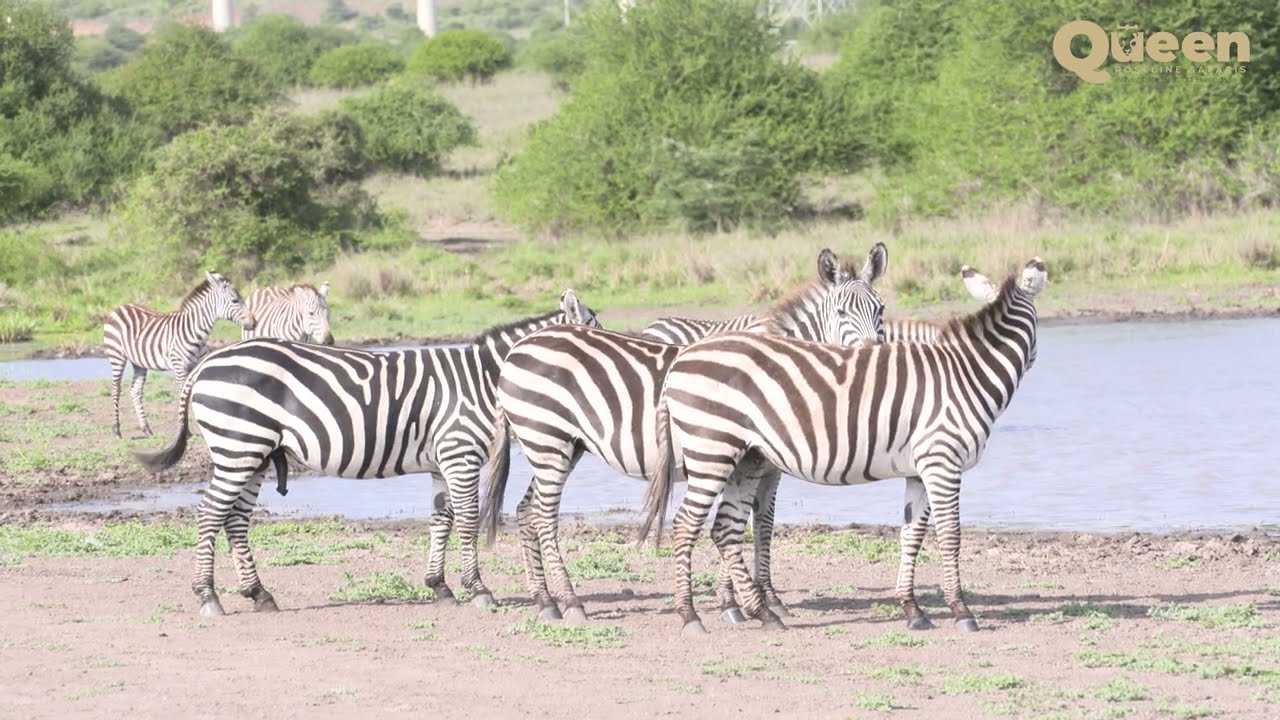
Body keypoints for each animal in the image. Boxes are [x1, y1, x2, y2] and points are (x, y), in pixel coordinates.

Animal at [104, 271, 256, 438]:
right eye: (235, 300)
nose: (254, 323)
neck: (197, 333)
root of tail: (120, 307)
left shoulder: (196, 366)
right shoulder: (179, 366)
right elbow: (182, 395)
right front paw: (186, 430)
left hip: (138, 362)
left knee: (135, 391)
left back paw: (146, 429)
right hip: (116, 355)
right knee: (116, 389)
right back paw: (117, 430)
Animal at [132, 290, 599, 617]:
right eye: (598, 332)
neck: (484, 378)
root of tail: (207, 364)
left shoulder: (442, 461)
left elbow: (441, 518)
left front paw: (439, 586)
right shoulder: (460, 453)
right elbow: (467, 519)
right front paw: (478, 589)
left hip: (254, 452)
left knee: (234, 519)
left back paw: (259, 593)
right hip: (238, 446)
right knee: (210, 514)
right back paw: (208, 596)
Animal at [484, 245, 887, 623]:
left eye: (881, 309)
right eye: (841, 313)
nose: (872, 354)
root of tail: (521, 346)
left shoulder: (768, 467)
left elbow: (762, 525)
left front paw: (767, 599)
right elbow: (741, 525)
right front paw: (733, 603)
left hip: (563, 445)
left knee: (525, 510)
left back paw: (545, 601)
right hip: (547, 439)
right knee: (542, 514)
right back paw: (571, 602)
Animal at [641, 258, 1047, 636]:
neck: (965, 372)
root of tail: (681, 359)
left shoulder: (919, 470)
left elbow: (911, 534)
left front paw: (912, 609)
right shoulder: (942, 462)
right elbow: (950, 536)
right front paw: (962, 611)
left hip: (746, 458)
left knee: (724, 528)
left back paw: (763, 614)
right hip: (712, 450)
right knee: (686, 525)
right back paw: (690, 615)